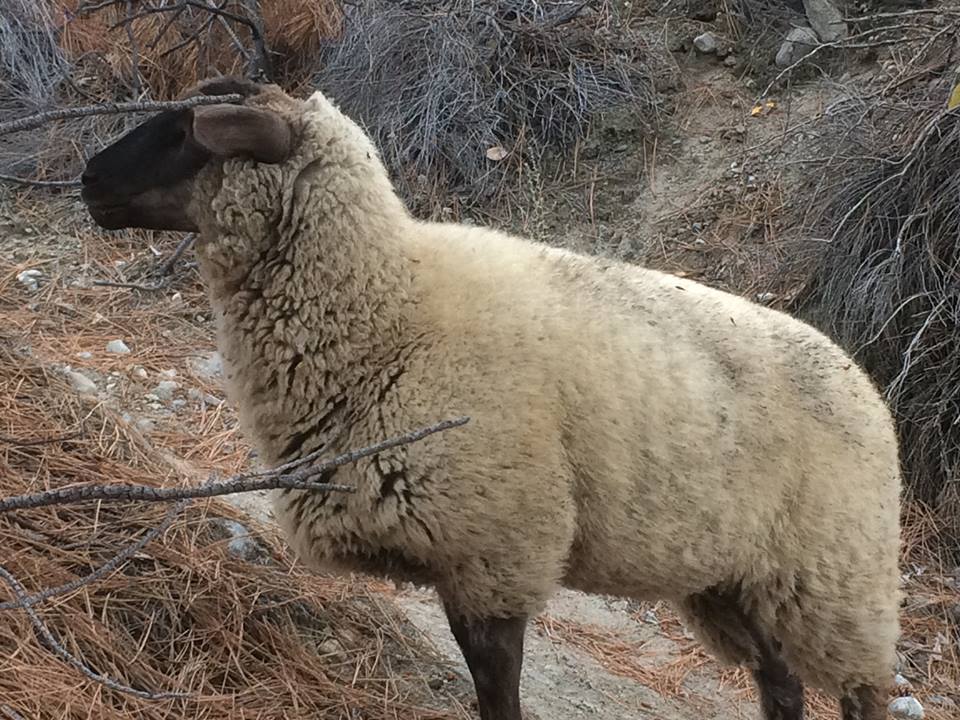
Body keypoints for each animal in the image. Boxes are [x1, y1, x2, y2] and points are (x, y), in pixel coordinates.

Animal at [79, 76, 903, 720]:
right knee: (781, 681)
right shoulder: (467, 560)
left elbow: (498, 699)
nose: (88, 179)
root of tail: (864, 382)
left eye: (184, 132)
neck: (389, 311)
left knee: (861, 691)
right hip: (736, 578)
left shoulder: (495, 554)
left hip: (839, 581)